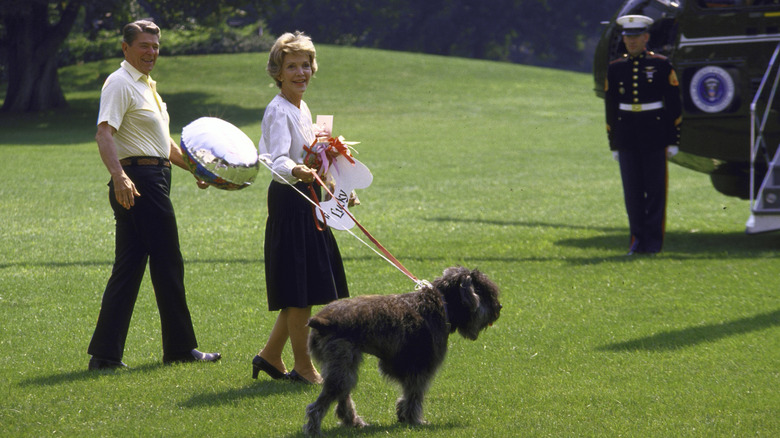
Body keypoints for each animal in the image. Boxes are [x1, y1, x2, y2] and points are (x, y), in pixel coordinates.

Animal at [302, 266, 502, 434]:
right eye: (483, 291)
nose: (498, 308)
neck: (441, 303)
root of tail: (320, 321)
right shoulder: (422, 368)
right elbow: (415, 395)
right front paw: (415, 420)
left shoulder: (409, 368)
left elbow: (407, 393)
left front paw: (403, 414)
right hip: (342, 368)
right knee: (319, 405)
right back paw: (314, 428)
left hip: (345, 368)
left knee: (343, 398)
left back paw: (354, 422)